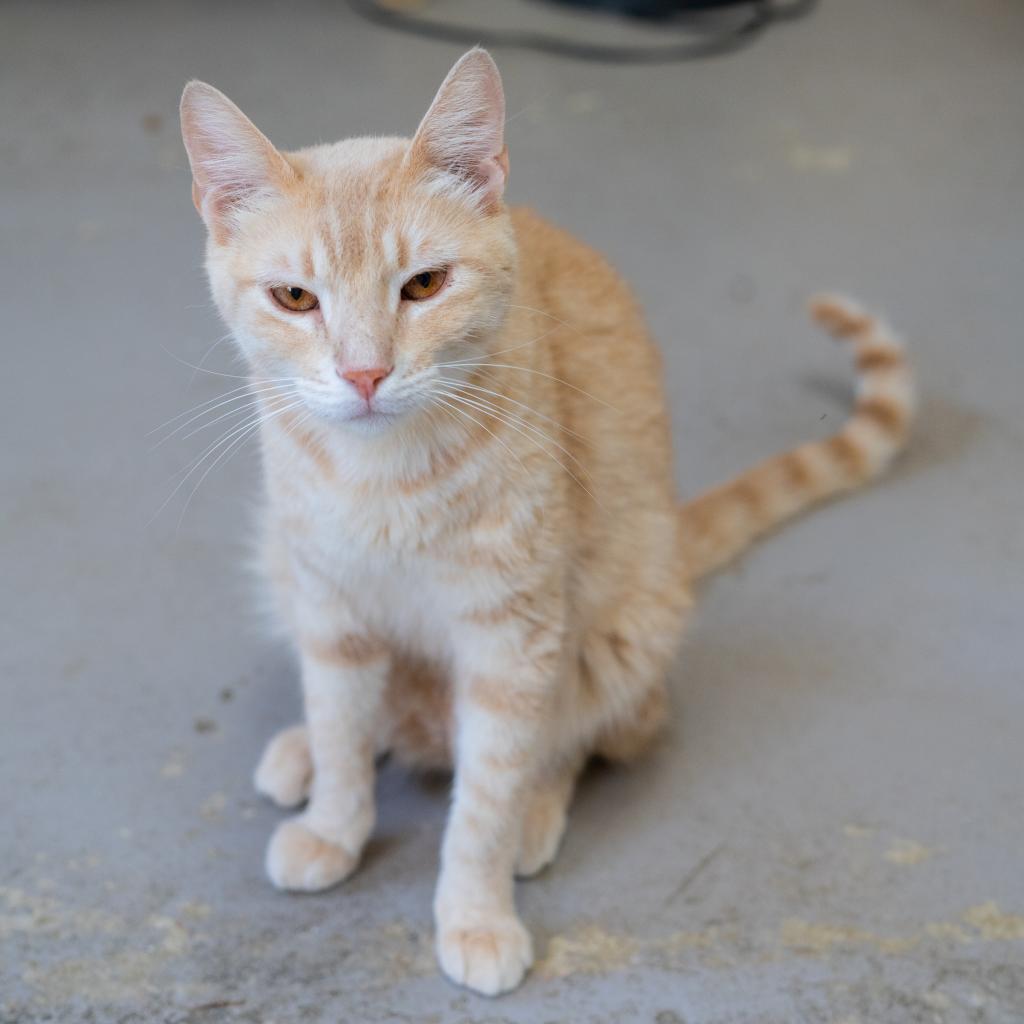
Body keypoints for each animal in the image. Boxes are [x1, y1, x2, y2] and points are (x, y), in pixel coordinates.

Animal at [180, 46, 917, 991]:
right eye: (296, 299)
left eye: (424, 285)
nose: (364, 374)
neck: (383, 482)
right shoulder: (331, 603)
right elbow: (344, 727)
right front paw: (336, 821)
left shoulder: (513, 639)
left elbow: (485, 796)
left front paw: (475, 910)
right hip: (282, 570)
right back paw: (304, 749)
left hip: (619, 633)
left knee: (574, 737)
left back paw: (535, 812)